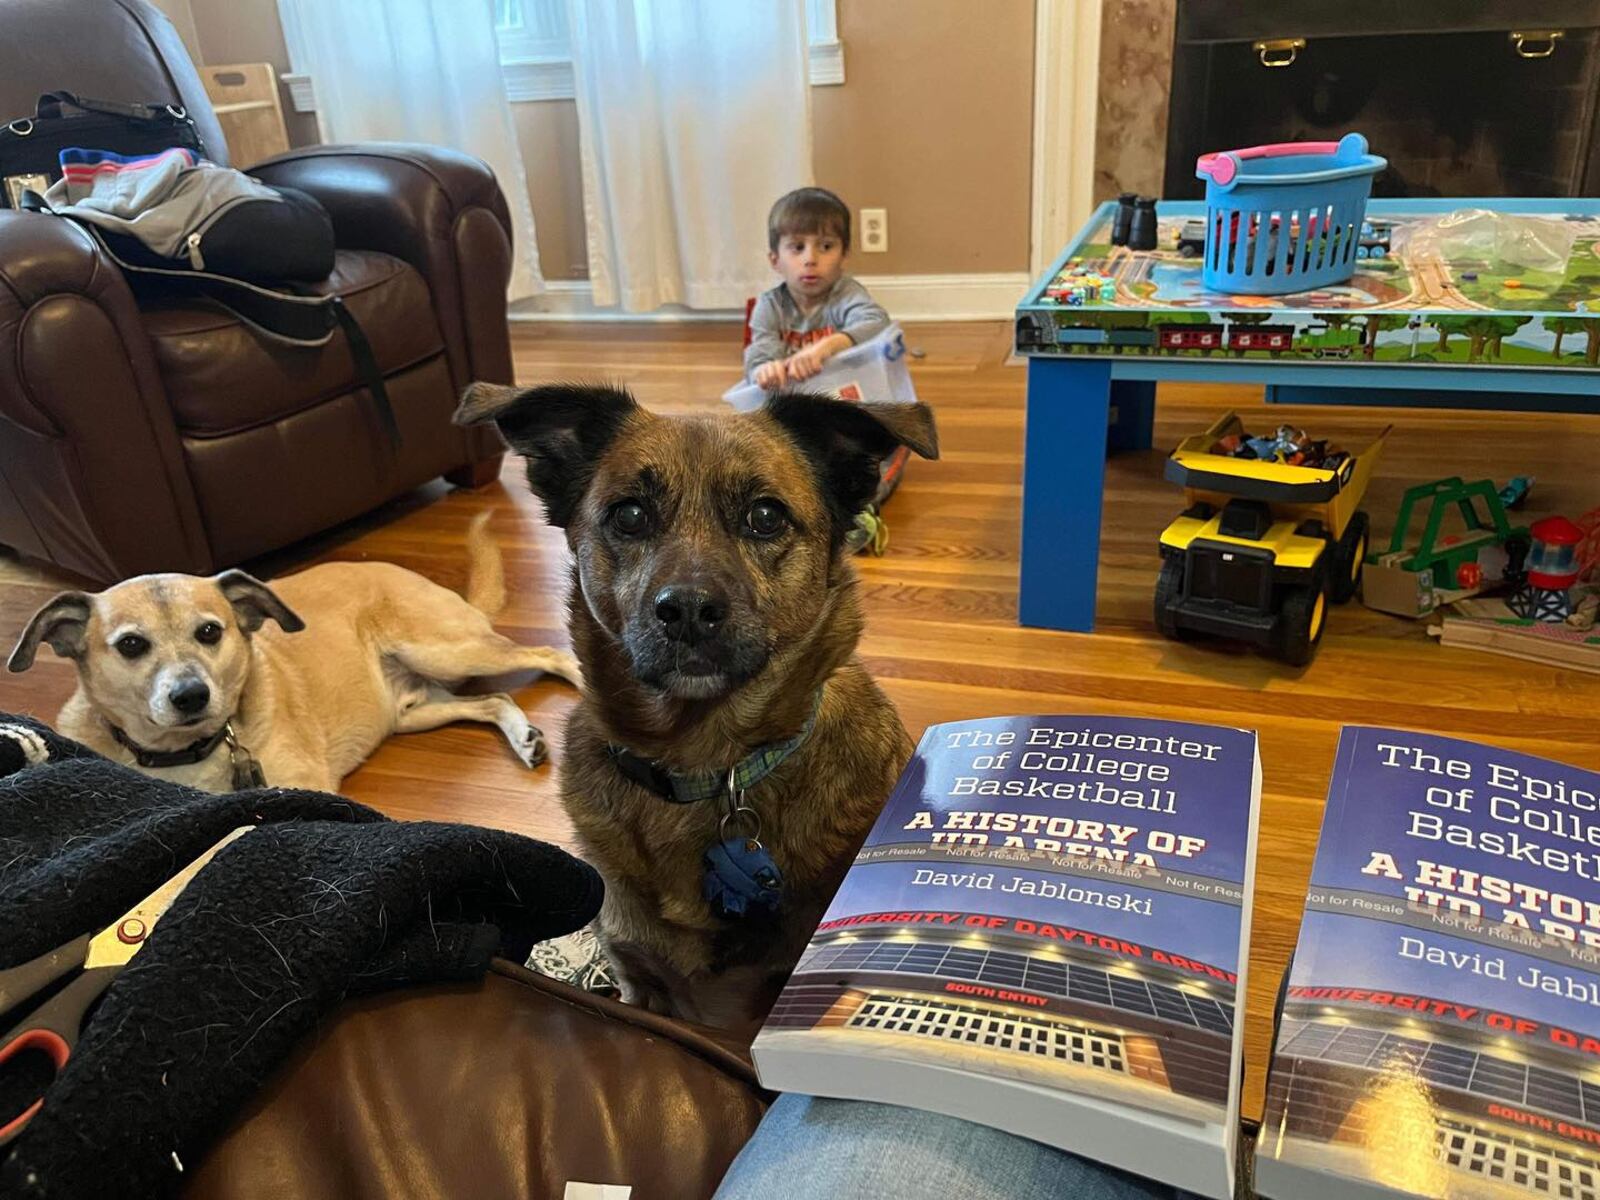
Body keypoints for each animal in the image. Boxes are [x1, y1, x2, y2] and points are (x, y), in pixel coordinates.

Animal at [6, 518, 582, 793]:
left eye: (209, 632)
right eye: (131, 645)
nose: (191, 696)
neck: (187, 754)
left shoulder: (307, 788)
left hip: (448, 650)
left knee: (550, 653)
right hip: (415, 710)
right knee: (494, 700)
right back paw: (524, 738)